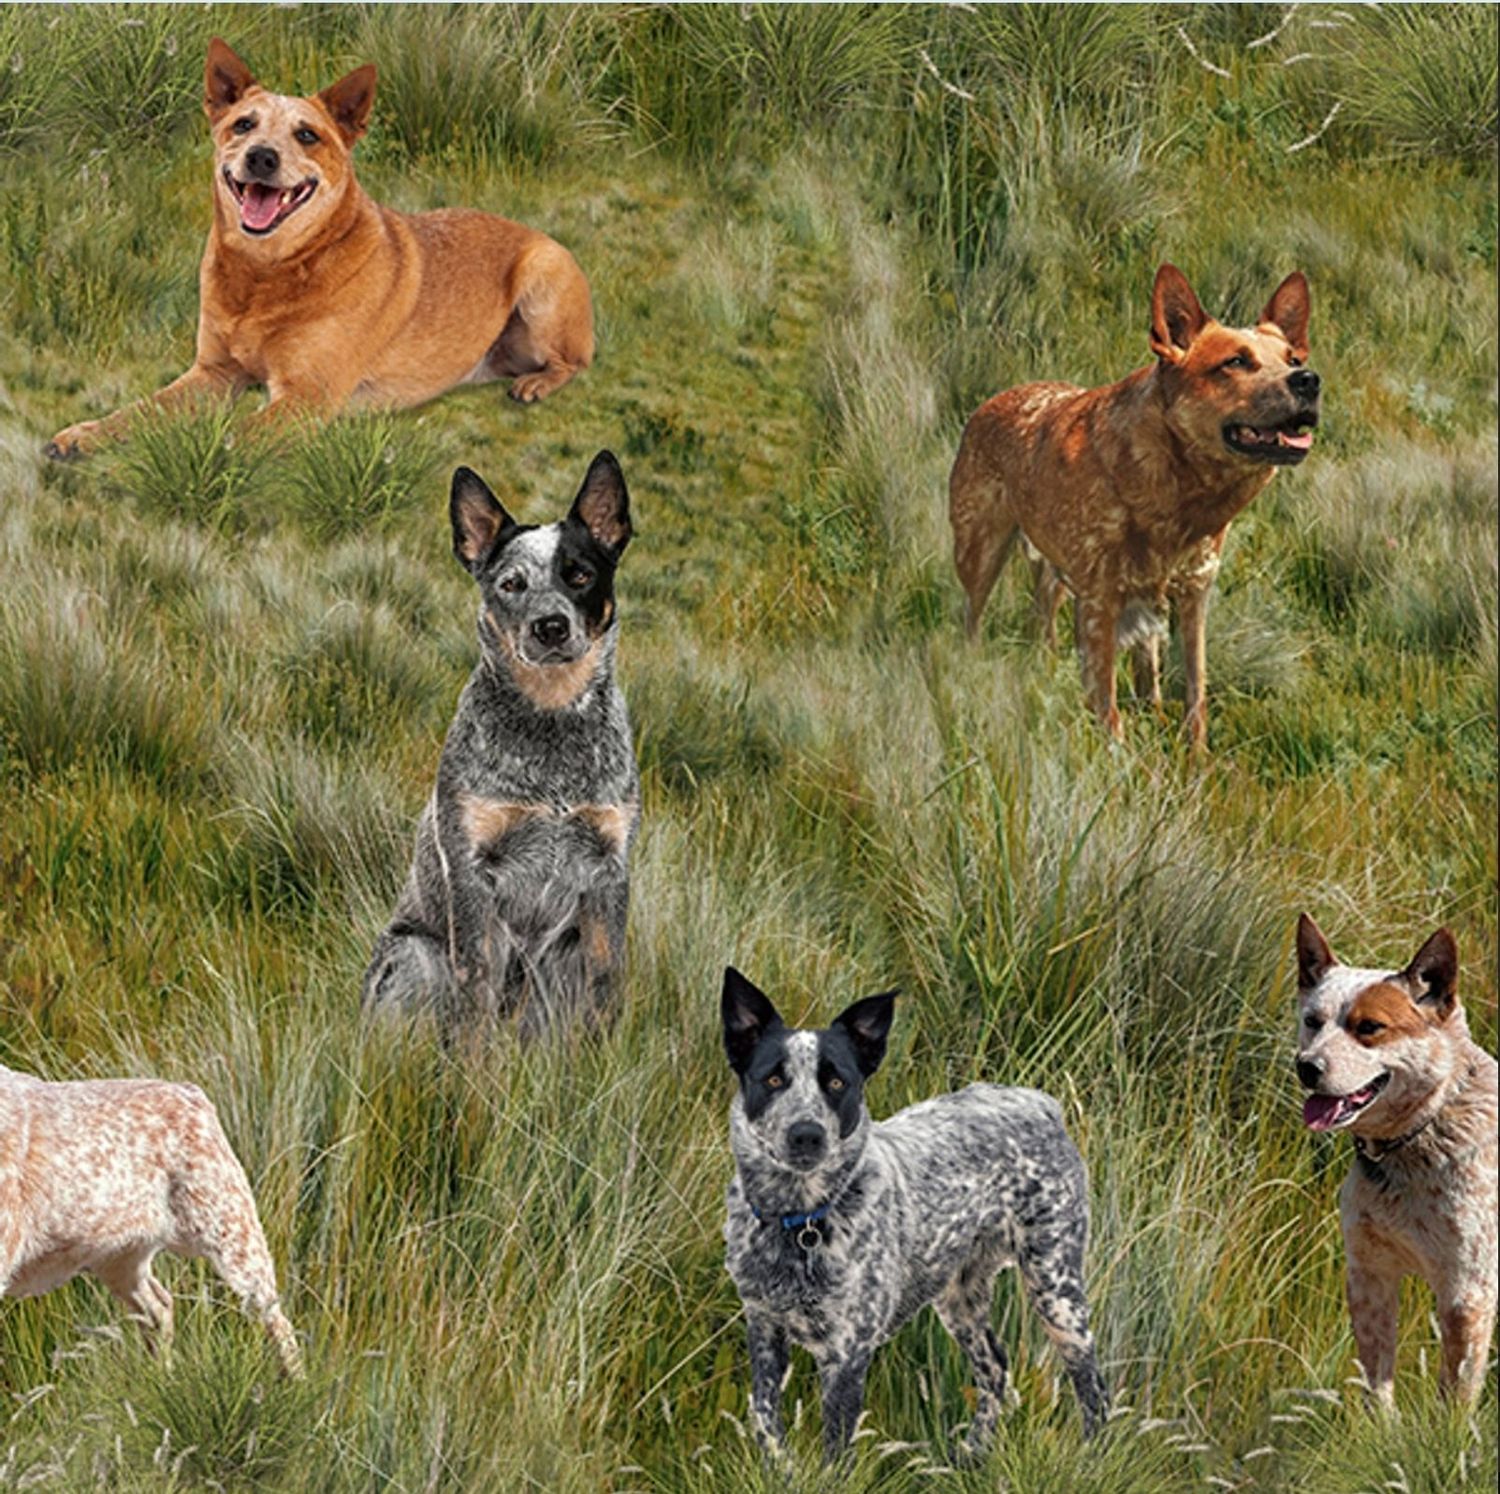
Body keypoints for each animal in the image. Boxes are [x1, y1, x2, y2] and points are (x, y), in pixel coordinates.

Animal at [1296, 912, 1494, 1410]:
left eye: (1369, 1027)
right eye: (1312, 1021)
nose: (1306, 1066)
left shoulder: (1467, 1291)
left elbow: (1454, 1397)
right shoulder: (1370, 1272)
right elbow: (1377, 1383)